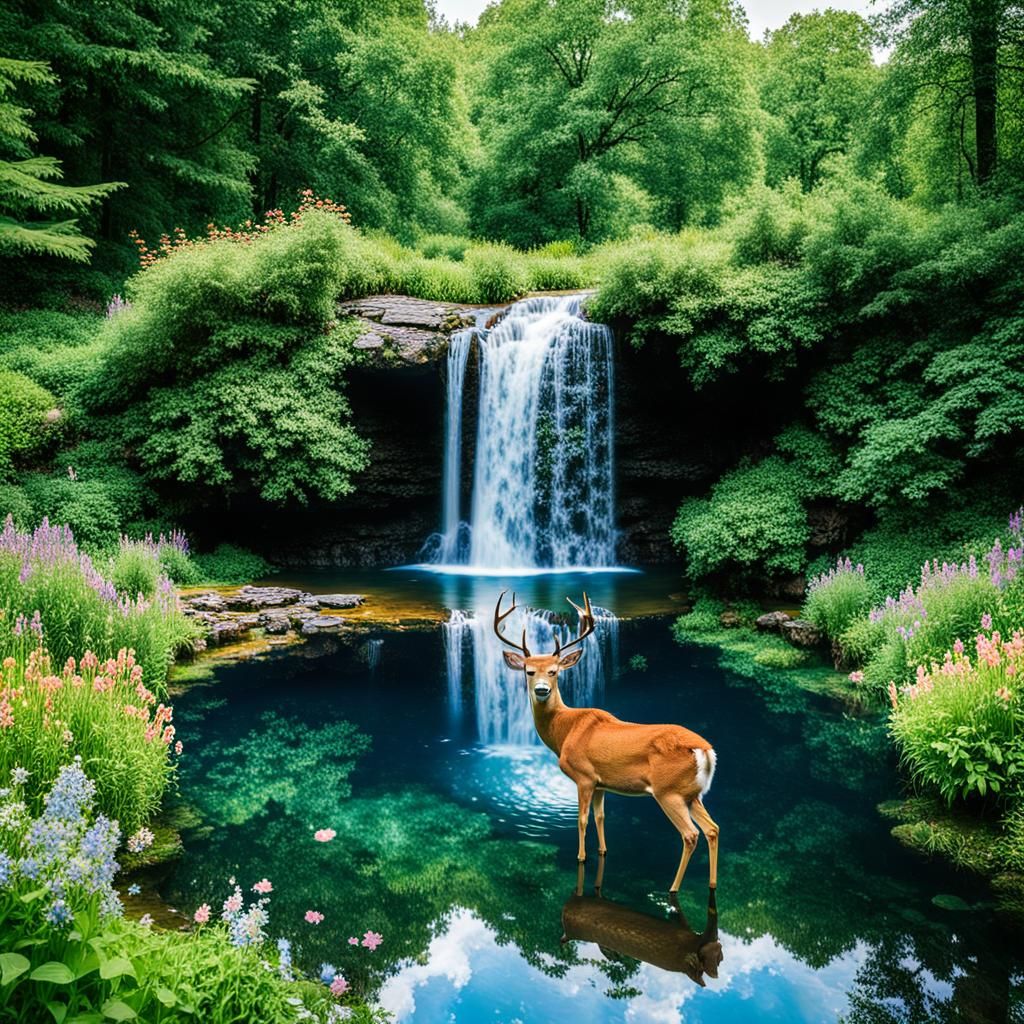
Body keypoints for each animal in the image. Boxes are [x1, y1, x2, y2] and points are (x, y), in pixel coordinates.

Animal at [495, 590, 719, 894]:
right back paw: (712, 884)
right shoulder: (602, 783)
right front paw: (602, 852)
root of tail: (705, 751)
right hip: (692, 793)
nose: (541, 690)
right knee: (712, 829)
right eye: (529, 671)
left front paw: (580, 857)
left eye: (554, 671)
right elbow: (601, 817)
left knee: (690, 834)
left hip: (668, 791)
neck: (564, 729)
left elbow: (581, 819)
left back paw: (672, 889)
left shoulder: (584, 776)